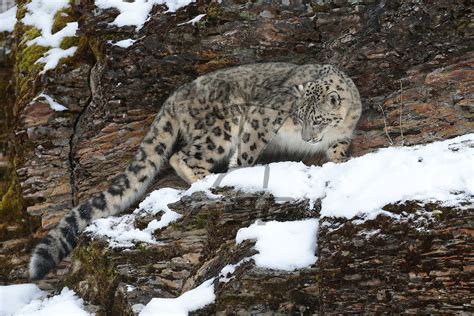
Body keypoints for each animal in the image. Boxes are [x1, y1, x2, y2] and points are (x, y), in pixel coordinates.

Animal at [29, 61, 362, 278]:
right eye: (299, 116)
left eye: (316, 119)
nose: (306, 137)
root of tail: (175, 96)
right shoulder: (261, 118)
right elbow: (248, 148)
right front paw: (243, 171)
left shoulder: (341, 137)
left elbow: (337, 153)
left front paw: (339, 165)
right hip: (220, 127)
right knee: (183, 156)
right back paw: (209, 181)